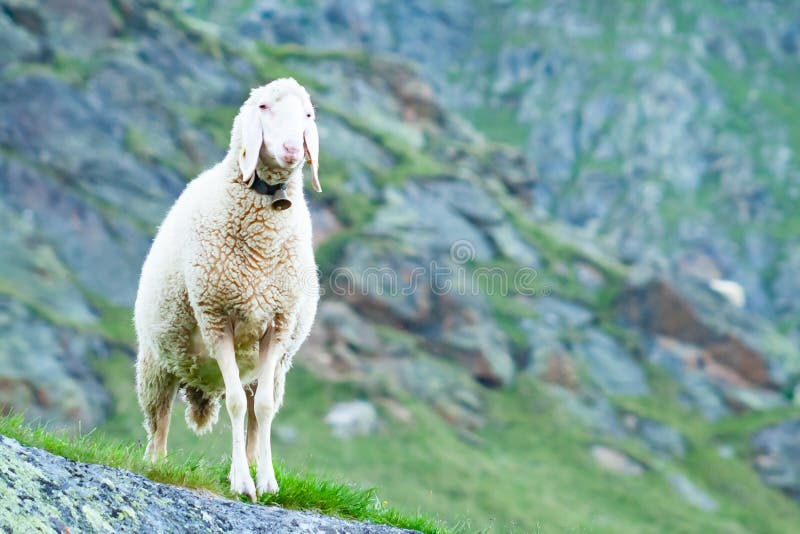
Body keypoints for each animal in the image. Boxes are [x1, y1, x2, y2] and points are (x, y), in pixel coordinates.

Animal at [134, 77, 322, 501]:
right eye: (264, 106)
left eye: (307, 114)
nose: (291, 150)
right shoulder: (216, 317)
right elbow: (234, 403)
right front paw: (240, 481)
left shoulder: (278, 323)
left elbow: (262, 409)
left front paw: (265, 480)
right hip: (156, 362)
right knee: (159, 420)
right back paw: (156, 463)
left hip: (272, 369)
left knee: (255, 413)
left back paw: (252, 462)